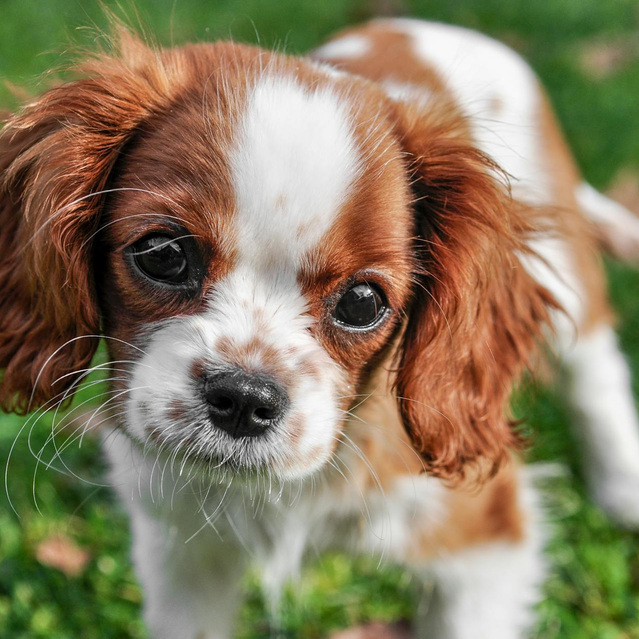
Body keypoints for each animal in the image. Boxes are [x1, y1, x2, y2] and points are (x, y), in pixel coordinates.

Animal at [1, 18, 639, 639]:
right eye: (162, 253)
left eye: (362, 302)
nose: (244, 398)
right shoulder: (180, 557)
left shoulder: (484, 544)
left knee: (594, 373)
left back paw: (622, 487)